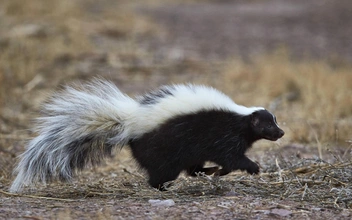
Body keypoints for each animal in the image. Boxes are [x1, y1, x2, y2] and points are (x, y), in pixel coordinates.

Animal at [11, 79, 284, 192]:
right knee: (162, 172)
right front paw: (253, 167)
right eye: (268, 125)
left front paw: (220, 171)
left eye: (275, 121)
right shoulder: (223, 134)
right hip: (164, 148)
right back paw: (164, 188)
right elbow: (231, 157)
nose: (281, 132)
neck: (241, 117)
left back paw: (204, 172)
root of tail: (130, 121)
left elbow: (228, 160)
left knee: (191, 167)